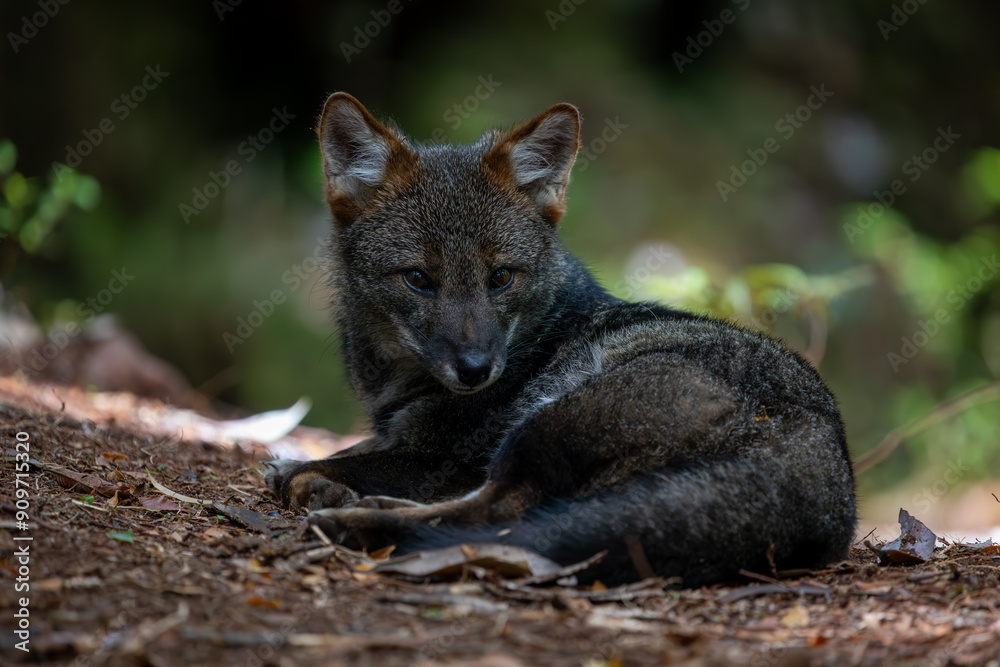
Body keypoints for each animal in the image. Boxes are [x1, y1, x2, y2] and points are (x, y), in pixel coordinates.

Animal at [264, 92, 857, 586]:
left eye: (501, 277)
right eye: (417, 279)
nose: (476, 370)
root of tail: (826, 464)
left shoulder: (444, 457)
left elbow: (338, 461)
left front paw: (308, 475)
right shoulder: (406, 438)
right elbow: (348, 450)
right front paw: (312, 473)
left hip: (545, 423)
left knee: (494, 515)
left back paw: (355, 521)